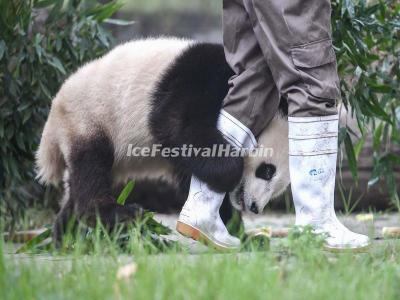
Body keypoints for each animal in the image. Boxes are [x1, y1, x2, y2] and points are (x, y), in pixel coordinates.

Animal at [36, 38, 290, 244]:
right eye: (267, 171)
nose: (255, 208)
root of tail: (54, 112)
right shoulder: (203, 79)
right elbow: (176, 123)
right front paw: (231, 172)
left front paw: (243, 236)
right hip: (90, 117)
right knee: (92, 165)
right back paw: (118, 215)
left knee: (78, 186)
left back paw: (71, 238)